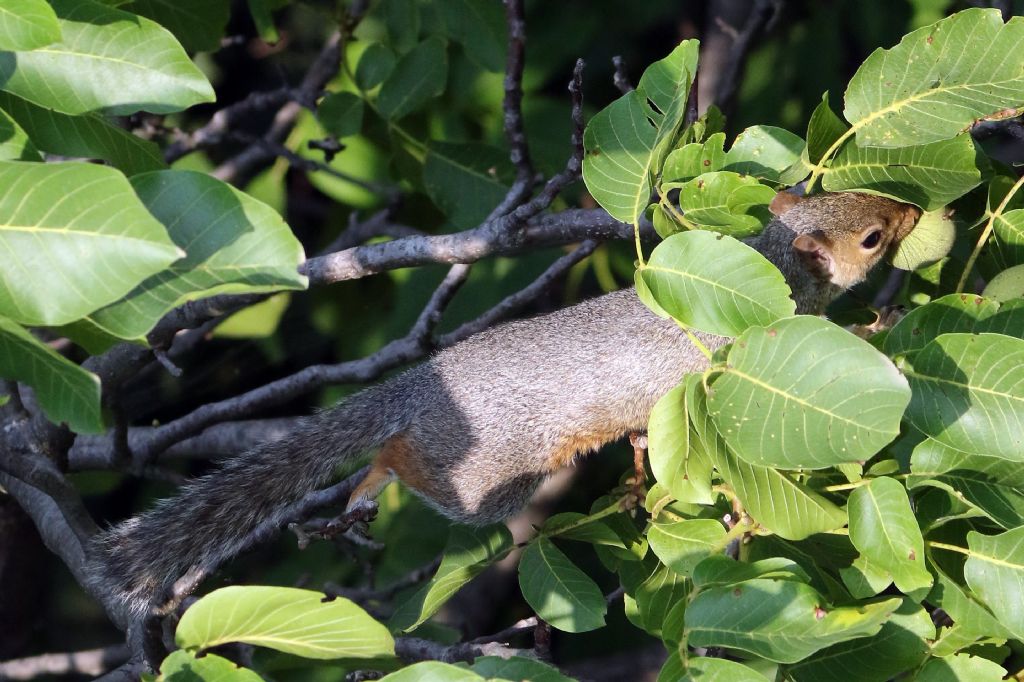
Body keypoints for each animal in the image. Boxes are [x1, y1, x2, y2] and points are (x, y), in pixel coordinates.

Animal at [86, 189, 921, 614]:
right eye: (872, 236)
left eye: (857, 195)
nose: (918, 211)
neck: (771, 269)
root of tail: (424, 382)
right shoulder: (747, 351)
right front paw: (881, 323)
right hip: (490, 473)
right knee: (412, 464)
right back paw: (378, 478)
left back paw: (358, 494)